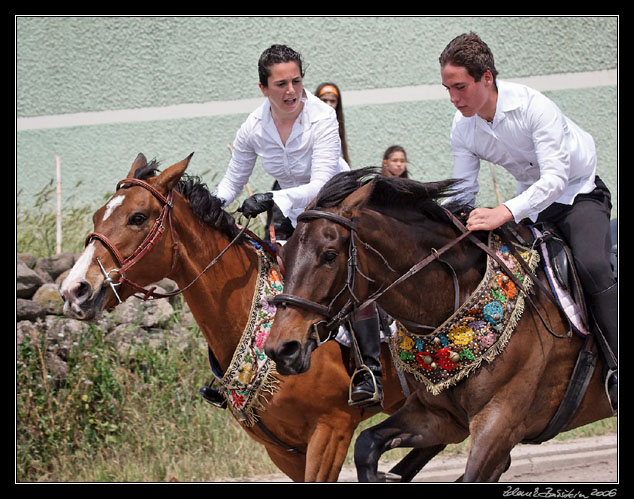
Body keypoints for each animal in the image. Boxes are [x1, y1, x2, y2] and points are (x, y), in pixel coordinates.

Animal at [264, 169, 616, 484]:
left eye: (329, 255)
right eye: (284, 255)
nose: (282, 349)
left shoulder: (500, 422)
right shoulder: (439, 417)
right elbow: (366, 446)